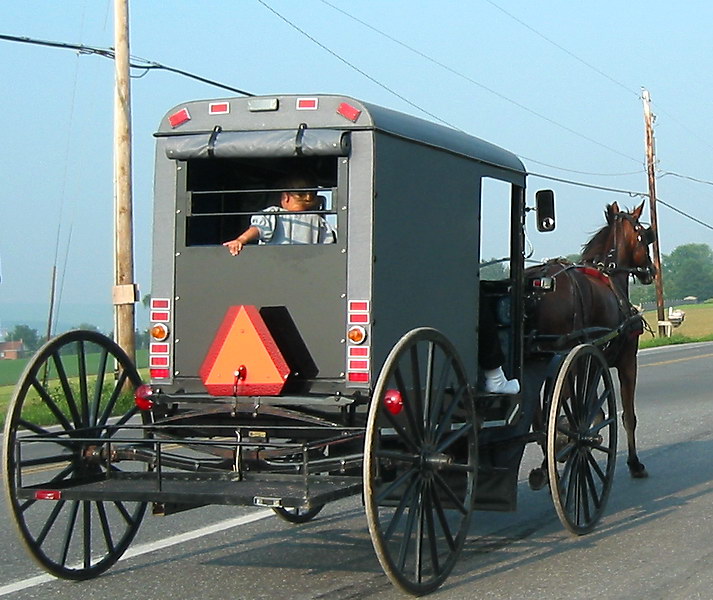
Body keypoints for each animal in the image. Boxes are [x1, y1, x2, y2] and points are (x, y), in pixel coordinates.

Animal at [524, 202, 656, 478]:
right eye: (644, 235)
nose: (651, 271)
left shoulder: (591, 361)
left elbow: (592, 405)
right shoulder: (627, 361)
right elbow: (628, 416)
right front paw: (634, 463)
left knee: (537, 412)